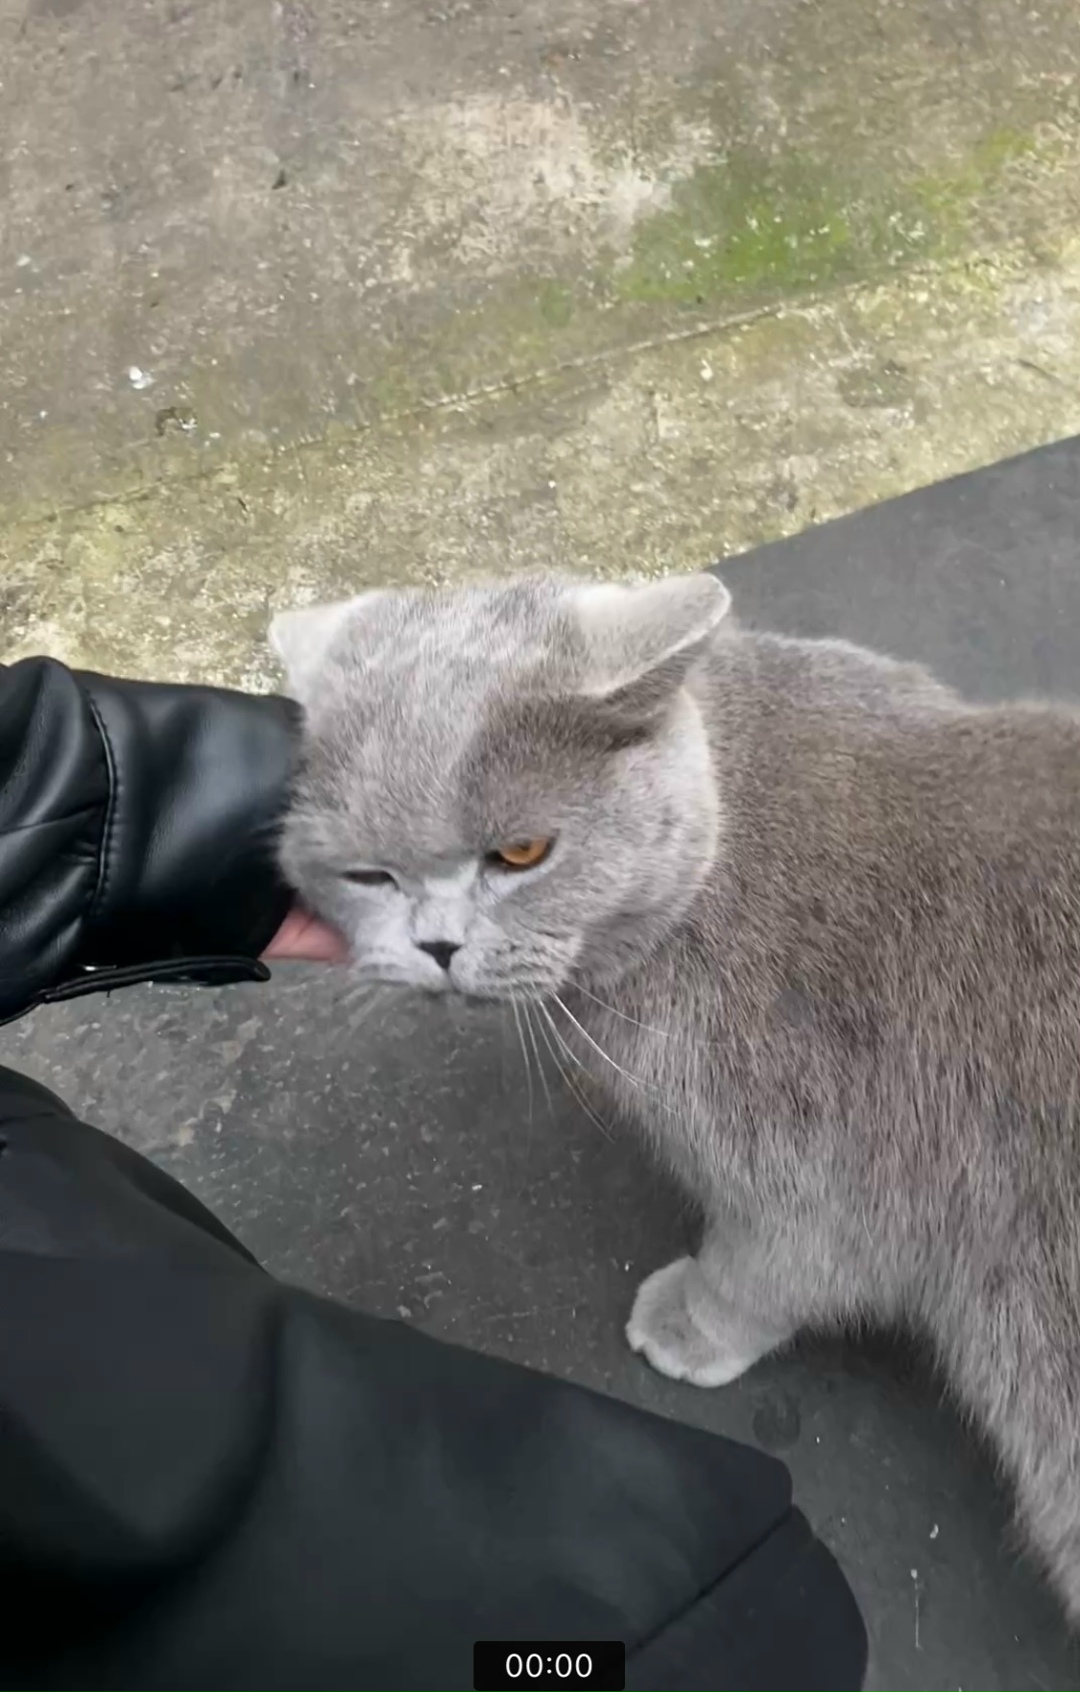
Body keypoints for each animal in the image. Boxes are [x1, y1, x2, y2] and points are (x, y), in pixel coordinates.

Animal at [272, 571, 1080, 1624]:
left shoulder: (830, 1168)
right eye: (367, 875)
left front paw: (689, 1322)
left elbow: (770, 1266)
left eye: (522, 853)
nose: (437, 946)